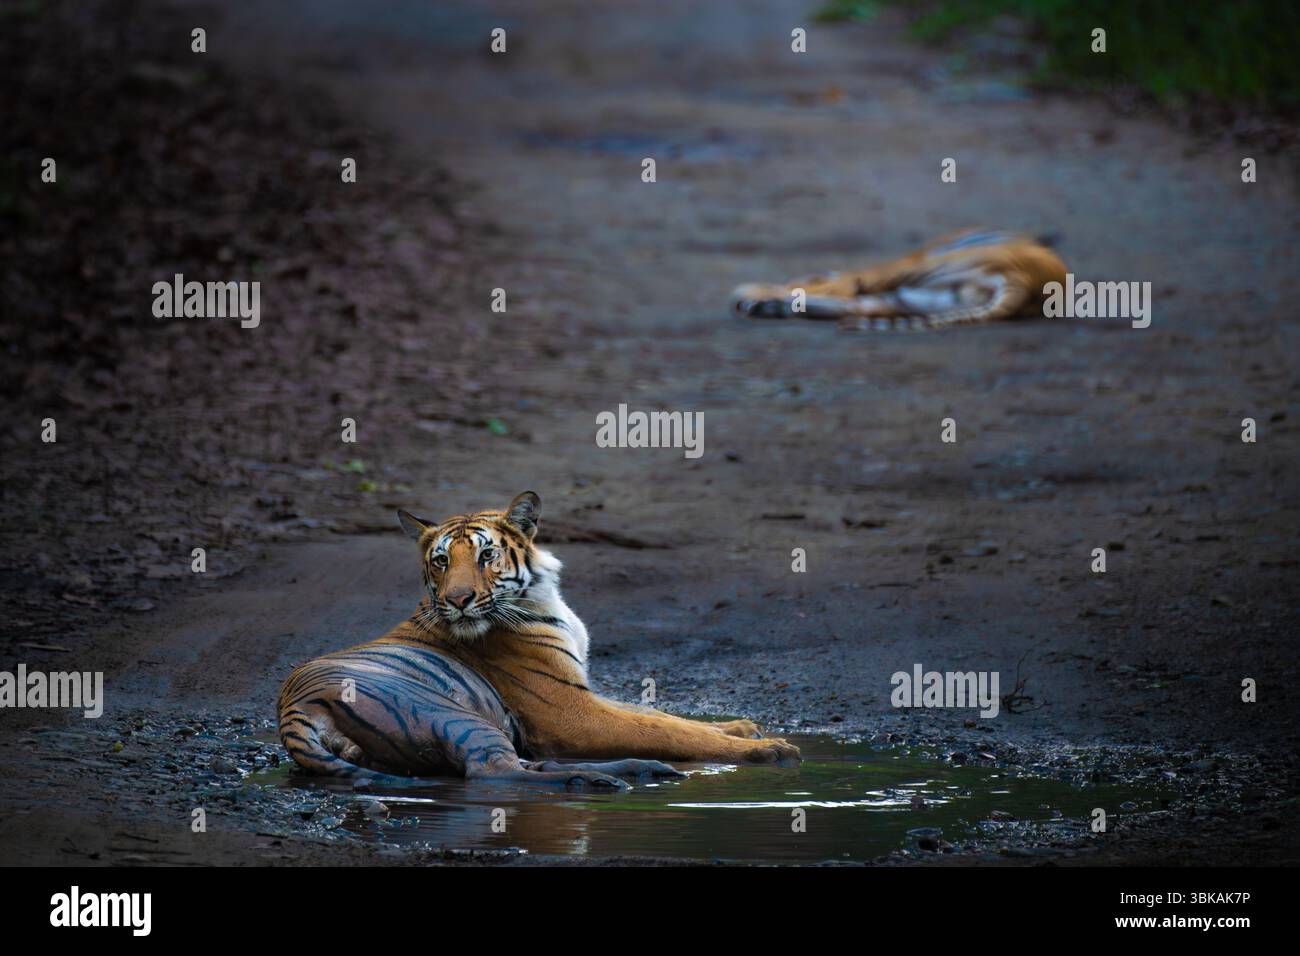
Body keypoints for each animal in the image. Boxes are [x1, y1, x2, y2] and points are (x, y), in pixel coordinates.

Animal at [277, 491, 801, 790]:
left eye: (486, 555)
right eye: (441, 561)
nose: (459, 600)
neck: (544, 598)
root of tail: (292, 713)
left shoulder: (582, 690)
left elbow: (659, 715)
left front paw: (743, 728)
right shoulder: (569, 712)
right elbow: (667, 730)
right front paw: (768, 749)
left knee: (522, 766)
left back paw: (636, 771)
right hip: (452, 714)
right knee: (494, 773)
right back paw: (608, 779)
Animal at [730, 228, 1068, 331]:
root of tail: (1028, 282)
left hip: (914, 270)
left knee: (848, 294)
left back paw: (753, 299)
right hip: (917, 295)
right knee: (853, 305)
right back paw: (762, 306)